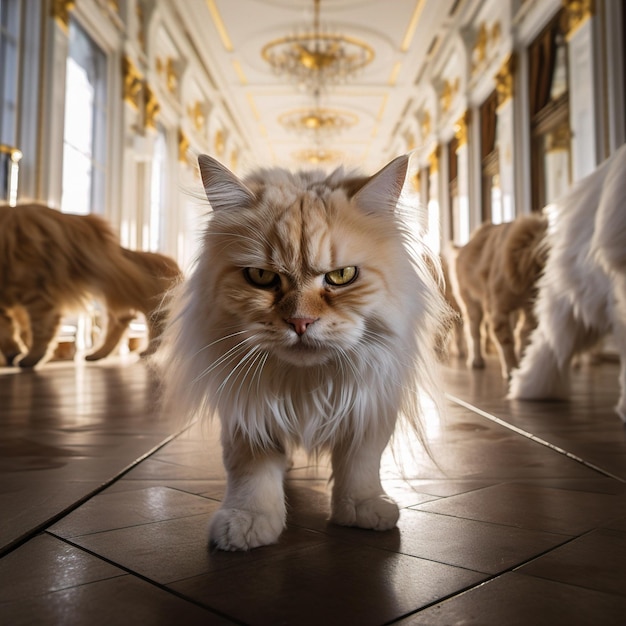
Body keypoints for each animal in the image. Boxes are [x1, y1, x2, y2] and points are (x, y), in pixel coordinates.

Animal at [0, 202, 180, 364]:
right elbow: (11, 330)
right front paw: (13, 352)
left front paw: (19, 354)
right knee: (121, 318)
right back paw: (98, 354)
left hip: (34, 284)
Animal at [158, 154, 446, 548]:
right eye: (261, 277)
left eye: (342, 276)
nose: (300, 322)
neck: (303, 380)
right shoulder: (244, 409)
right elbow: (250, 471)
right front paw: (248, 522)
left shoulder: (371, 401)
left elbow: (361, 463)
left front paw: (364, 509)